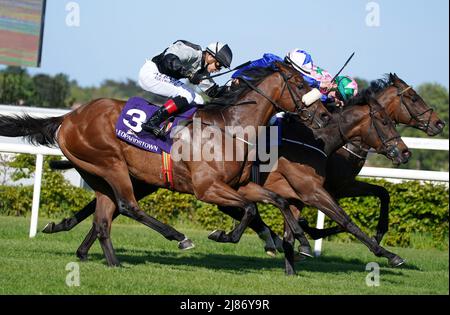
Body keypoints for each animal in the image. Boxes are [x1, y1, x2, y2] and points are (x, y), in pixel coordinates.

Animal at [0, 62, 330, 270]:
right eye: (299, 83)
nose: (325, 116)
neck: (229, 128)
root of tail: (69, 117)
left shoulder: (241, 185)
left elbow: (277, 201)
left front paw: (299, 240)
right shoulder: (207, 188)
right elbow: (250, 209)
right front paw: (223, 235)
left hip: (97, 173)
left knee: (104, 217)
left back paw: (112, 261)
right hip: (111, 165)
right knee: (127, 206)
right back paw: (179, 237)